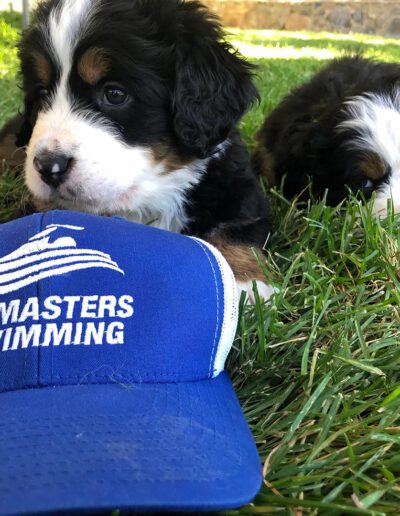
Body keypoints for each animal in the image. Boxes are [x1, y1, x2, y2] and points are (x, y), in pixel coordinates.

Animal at [2, 0, 276, 300]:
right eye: (41, 94)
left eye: (114, 94)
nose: (48, 166)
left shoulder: (238, 187)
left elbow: (236, 226)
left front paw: (245, 283)